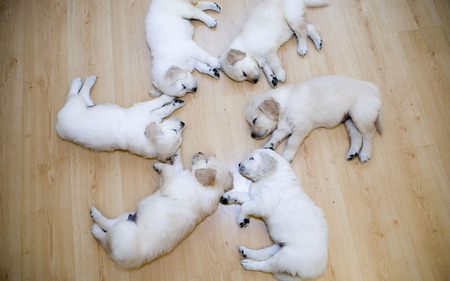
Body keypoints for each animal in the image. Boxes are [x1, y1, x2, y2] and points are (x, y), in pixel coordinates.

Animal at [56, 76, 186, 160]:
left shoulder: (148, 114)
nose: (183, 123)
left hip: (84, 105)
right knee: (74, 94)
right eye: (175, 131)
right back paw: (79, 81)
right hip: (76, 105)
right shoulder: (143, 109)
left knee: (81, 95)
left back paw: (86, 81)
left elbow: (162, 109)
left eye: (180, 137)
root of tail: (58, 127)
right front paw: (170, 97)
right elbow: (159, 105)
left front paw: (174, 101)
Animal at [89, 150, 234, 268]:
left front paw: (160, 165)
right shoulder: (175, 177)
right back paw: (95, 214)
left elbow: (169, 168)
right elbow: (177, 166)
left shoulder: (170, 183)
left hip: (124, 231)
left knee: (105, 238)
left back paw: (95, 227)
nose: (199, 152)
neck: (207, 187)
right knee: (109, 224)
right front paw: (176, 154)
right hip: (127, 217)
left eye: (206, 160)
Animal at [222, 148, 330, 278]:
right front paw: (228, 197)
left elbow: (245, 206)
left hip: (286, 257)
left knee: (267, 266)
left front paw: (242, 220)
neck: (270, 177)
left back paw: (250, 264)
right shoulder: (254, 197)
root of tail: (318, 270)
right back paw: (246, 252)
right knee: (266, 253)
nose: (239, 164)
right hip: (279, 246)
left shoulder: (262, 204)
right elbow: (242, 196)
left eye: (251, 158)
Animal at [246, 74, 384, 162]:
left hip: (360, 116)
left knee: (369, 135)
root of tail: (374, 89)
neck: (286, 104)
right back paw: (352, 152)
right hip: (349, 120)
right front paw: (269, 145)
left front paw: (287, 155)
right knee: (357, 136)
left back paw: (365, 153)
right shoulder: (284, 127)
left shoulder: (301, 128)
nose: (252, 135)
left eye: (254, 120)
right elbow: (275, 136)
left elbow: (292, 141)